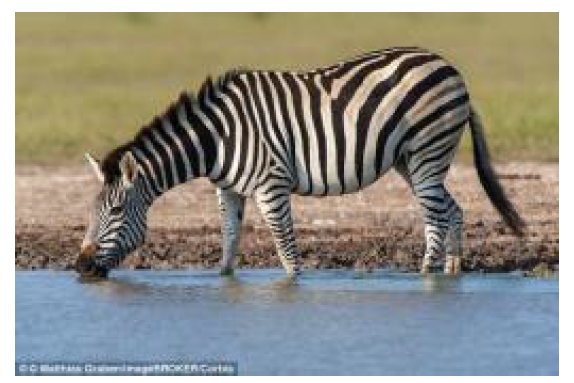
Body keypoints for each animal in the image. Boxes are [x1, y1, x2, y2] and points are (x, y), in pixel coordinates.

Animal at [75, 47, 528, 280]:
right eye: (91, 210)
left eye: (117, 210)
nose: (80, 268)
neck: (216, 138)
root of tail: (448, 65)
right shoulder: (229, 189)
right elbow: (229, 240)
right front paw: (224, 280)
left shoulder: (271, 184)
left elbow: (285, 246)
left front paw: (291, 287)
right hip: (412, 159)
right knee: (452, 208)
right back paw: (453, 269)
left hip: (426, 150)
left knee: (435, 214)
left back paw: (426, 275)